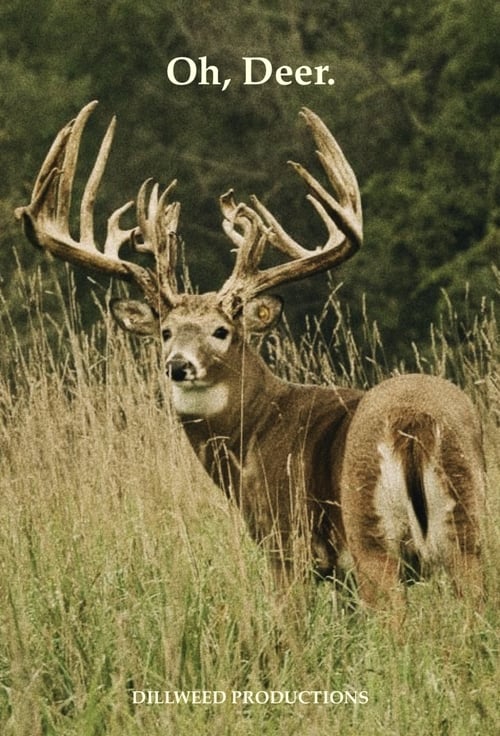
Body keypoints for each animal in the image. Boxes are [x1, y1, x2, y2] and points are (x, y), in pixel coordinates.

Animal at [15, 101, 485, 619]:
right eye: (165, 331)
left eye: (222, 331)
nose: (178, 365)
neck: (255, 432)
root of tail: (412, 425)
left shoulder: (285, 543)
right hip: (469, 528)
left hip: (371, 537)